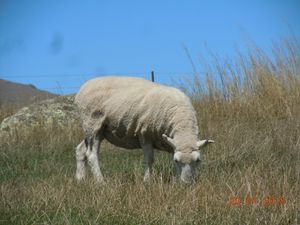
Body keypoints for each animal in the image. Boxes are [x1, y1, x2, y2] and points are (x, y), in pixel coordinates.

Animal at [74, 75, 213, 183]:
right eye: (177, 160)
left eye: (198, 160)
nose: (187, 183)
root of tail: (81, 89)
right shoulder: (145, 134)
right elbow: (149, 159)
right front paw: (147, 181)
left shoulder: (171, 142)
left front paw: (175, 180)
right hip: (93, 123)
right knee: (92, 154)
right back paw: (101, 181)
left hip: (99, 130)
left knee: (81, 150)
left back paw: (80, 179)